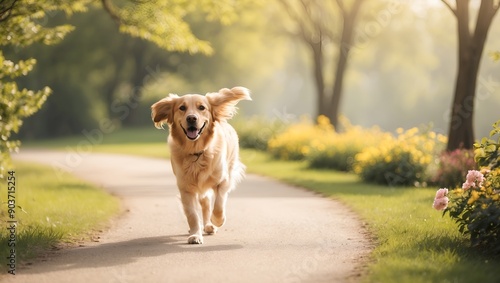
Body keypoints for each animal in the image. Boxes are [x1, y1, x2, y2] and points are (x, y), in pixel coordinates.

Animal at [148, 86, 250, 244]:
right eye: (182, 108)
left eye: (202, 107)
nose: (191, 118)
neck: (196, 152)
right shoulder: (186, 189)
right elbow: (192, 215)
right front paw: (195, 234)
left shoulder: (223, 181)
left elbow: (219, 205)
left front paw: (217, 220)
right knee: (205, 203)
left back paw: (210, 225)